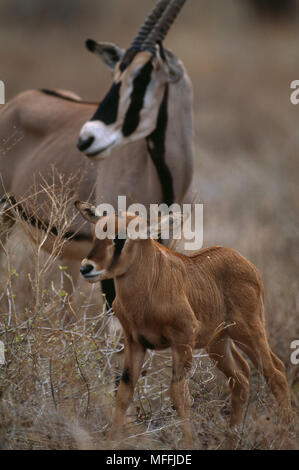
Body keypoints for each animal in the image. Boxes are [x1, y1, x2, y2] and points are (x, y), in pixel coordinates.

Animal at [75, 202, 292, 448]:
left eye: (121, 236)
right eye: (95, 234)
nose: (87, 268)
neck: (148, 285)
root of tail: (250, 266)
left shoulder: (182, 339)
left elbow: (179, 395)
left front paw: (190, 443)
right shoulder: (135, 343)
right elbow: (123, 394)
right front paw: (111, 442)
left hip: (248, 332)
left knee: (275, 372)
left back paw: (285, 437)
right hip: (218, 343)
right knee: (241, 377)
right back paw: (232, 441)